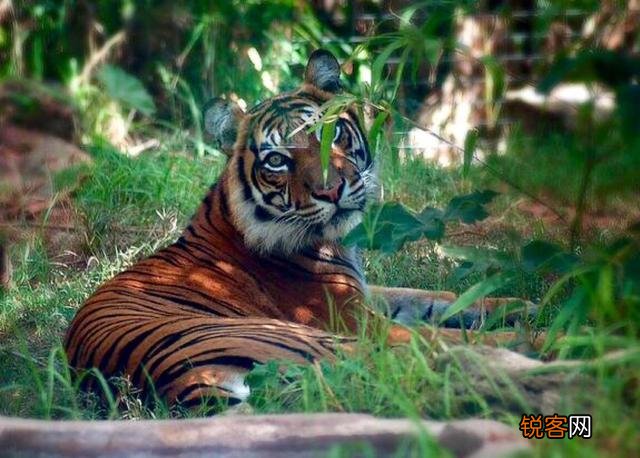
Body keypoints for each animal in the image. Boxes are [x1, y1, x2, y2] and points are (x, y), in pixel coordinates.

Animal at [65, 49, 532, 409]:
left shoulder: (364, 295)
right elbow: (437, 328)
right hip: (313, 339)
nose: (331, 190)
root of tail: (181, 384)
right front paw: (529, 324)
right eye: (277, 160)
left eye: (331, 132)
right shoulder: (355, 320)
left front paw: (519, 303)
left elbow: (439, 298)